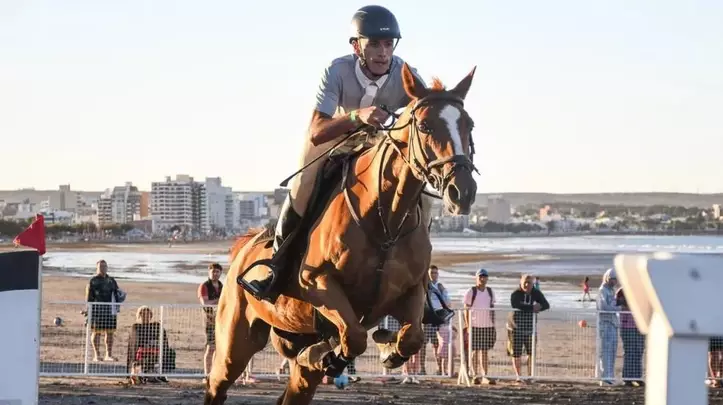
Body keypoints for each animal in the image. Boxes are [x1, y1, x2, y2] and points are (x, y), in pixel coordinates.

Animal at [204, 63, 478, 405]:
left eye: (469, 125)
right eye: (426, 126)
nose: (462, 192)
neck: (385, 220)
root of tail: (244, 247)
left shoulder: (411, 289)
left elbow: (411, 337)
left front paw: (386, 347)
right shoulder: (319, 283)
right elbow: (355, 337)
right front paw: (333, 357)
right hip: (235, 341)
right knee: (218, 384)